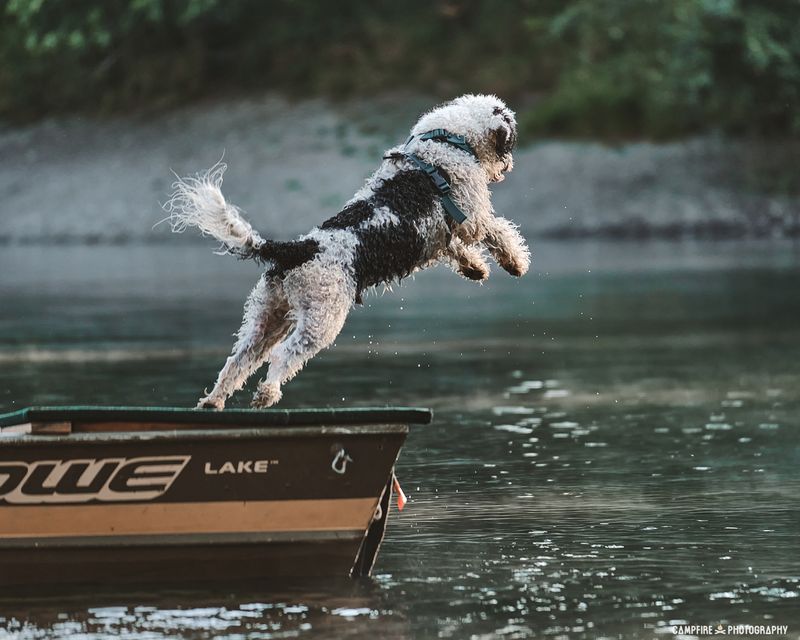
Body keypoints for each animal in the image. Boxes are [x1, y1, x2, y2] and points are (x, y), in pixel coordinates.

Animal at [167, 92, 532, 408]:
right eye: (511, 137)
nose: (509, 167)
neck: (446, 141)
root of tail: (295, 249)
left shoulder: (438, 237)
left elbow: (456, 249)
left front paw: (476, 268)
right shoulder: (472, 217)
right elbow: (499, 231)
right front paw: (515, 262)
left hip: (267, 318)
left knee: (237, 362)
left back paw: (213, 402)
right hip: (320, 321)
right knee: (283, 357)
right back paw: (266, 394)